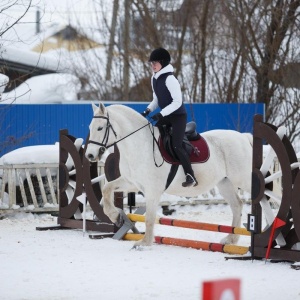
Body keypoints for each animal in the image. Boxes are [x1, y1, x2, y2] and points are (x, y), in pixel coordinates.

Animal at [85, 102, 253, 247]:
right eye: (90, 127)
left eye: (100, 128)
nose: (90, 155)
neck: (139, 145)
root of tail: (243, 137)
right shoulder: (131, 183)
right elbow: (107, 188)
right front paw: (115, 216)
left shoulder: (152, 190)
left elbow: (150, 218)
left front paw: (144, 243)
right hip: (225, 183)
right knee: (237, 205)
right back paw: (231, 239)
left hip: (244, 180)